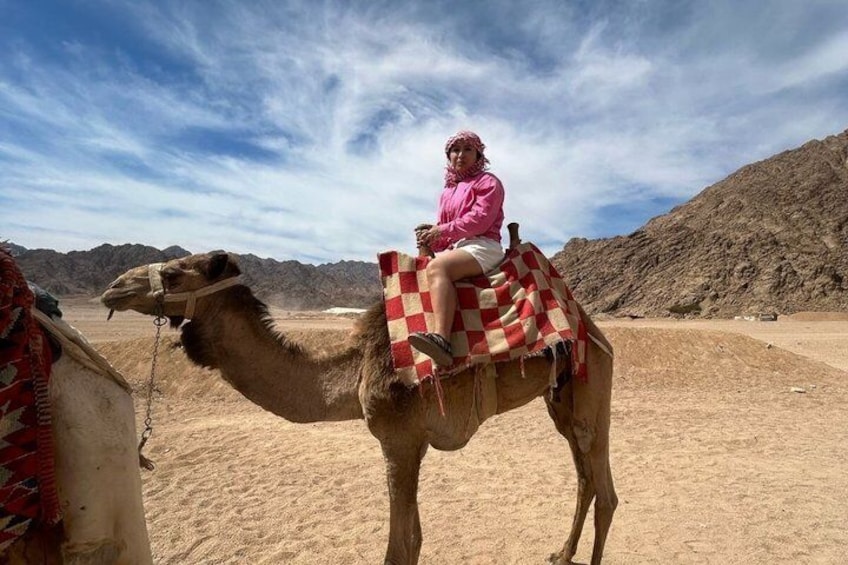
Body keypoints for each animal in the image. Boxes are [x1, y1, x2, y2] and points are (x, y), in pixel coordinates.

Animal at [100, 249, 617, 565]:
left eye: (172, 273)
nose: (114, 287)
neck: (356, 369)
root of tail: (590, 324)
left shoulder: (398, 440)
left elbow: (401, 547)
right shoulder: (408, 444)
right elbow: (414, 540)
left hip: (592, 384)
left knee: (604, 485)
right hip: (560, 398)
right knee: (586, 477)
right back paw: (560, 552)